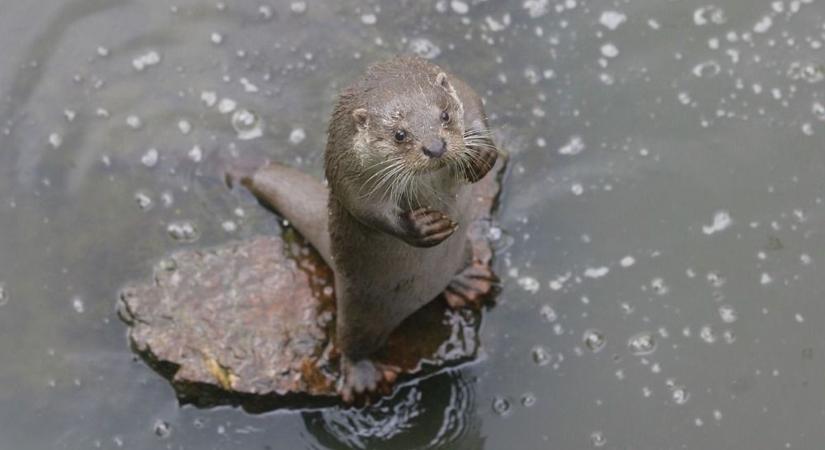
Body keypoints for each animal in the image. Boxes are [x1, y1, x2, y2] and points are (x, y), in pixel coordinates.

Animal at [235, 54, 498, 402]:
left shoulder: (460, 89)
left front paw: (482, 152)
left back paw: (470, 281)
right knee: (351, 344)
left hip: (461, 249)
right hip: (358, 308)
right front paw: (421, 228)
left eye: (444, 115)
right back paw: (363, 378)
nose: (435, 147)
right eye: (400, 135)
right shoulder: (347, 163)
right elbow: (367, 208)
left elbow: (474, 100)